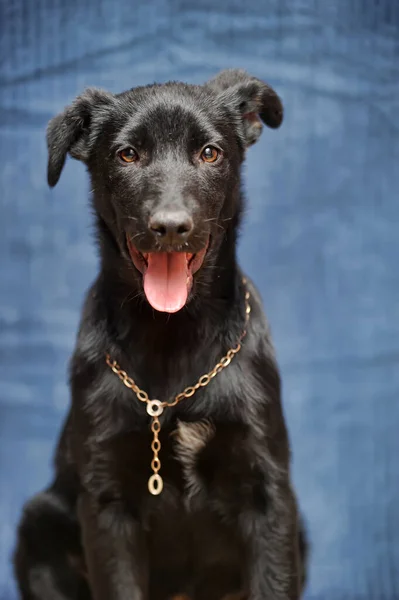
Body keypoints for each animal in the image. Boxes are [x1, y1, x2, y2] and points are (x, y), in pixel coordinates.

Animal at [13, 69, 306, 600]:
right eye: (127, 154)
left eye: (209, 153)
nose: (170, 228)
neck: (173, 338)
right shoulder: (107, 503)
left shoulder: (269, 495)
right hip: (39, 524)